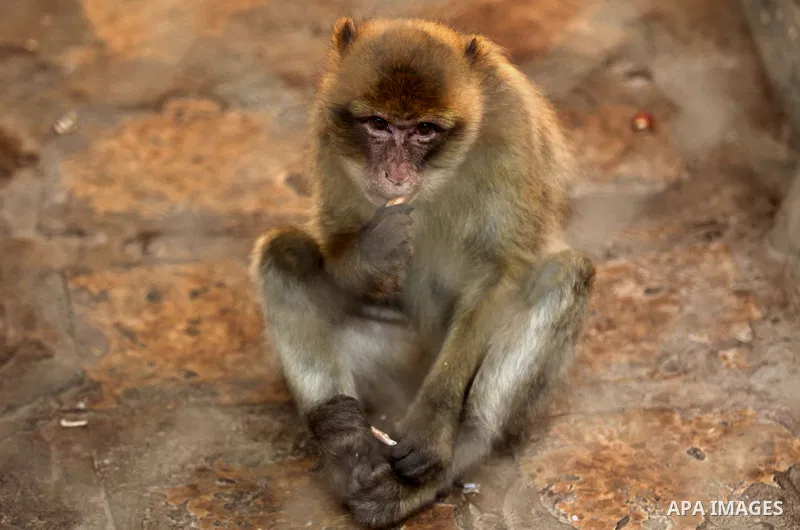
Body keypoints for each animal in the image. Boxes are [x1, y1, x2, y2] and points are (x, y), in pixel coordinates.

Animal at [250, 17, 595, 528]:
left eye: (424, 131)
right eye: (378, 124)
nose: (394, 175)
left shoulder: (510, 125)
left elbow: (501, 269)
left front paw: (434, 426)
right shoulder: (328, 128)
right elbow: (334, 240)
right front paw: (373, 251)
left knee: (565, 275)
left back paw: (450, 455)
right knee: (283, 254)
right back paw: (344, 439)